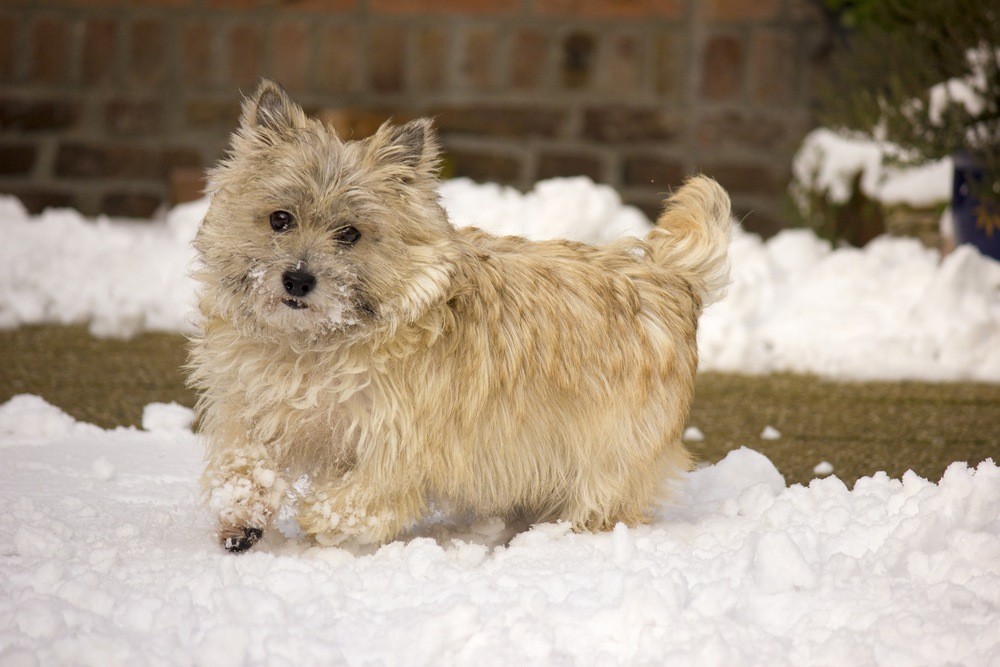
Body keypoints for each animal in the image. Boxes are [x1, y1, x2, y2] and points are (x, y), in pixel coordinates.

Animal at [189, 79, 736, 552]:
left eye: (350, 233)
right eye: (280, 218)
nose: (298, 281)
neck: (319, 342)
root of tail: (668, 275)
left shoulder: (400, 440)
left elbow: (365, 496)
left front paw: (318, 520)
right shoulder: (250, 406)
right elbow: (242, 461)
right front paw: (242, 513)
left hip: (609, 454)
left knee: (601, 502)